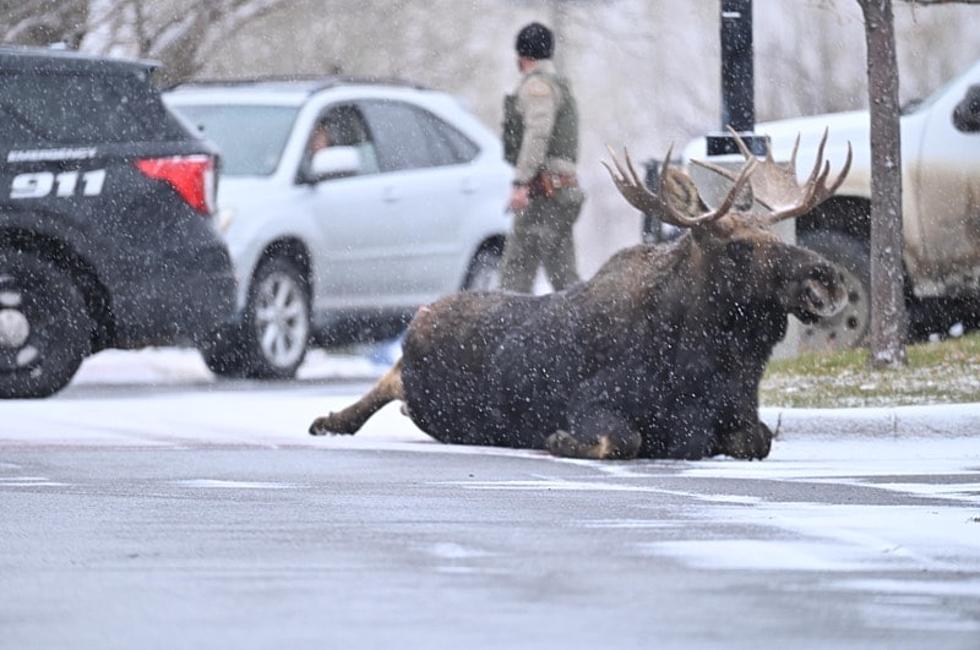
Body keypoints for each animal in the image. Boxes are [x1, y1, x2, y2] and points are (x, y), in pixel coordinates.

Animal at [312, 129, 848, 458]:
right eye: (737, 247)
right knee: (388, 378)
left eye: (777, 234)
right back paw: (327, 420)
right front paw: (559, 440)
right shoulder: (593, 401)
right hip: (413, 363)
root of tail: (420, 316)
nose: (827, 276)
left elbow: (759, 439)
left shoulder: (743, 416)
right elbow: (624, 439)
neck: (709, 361)